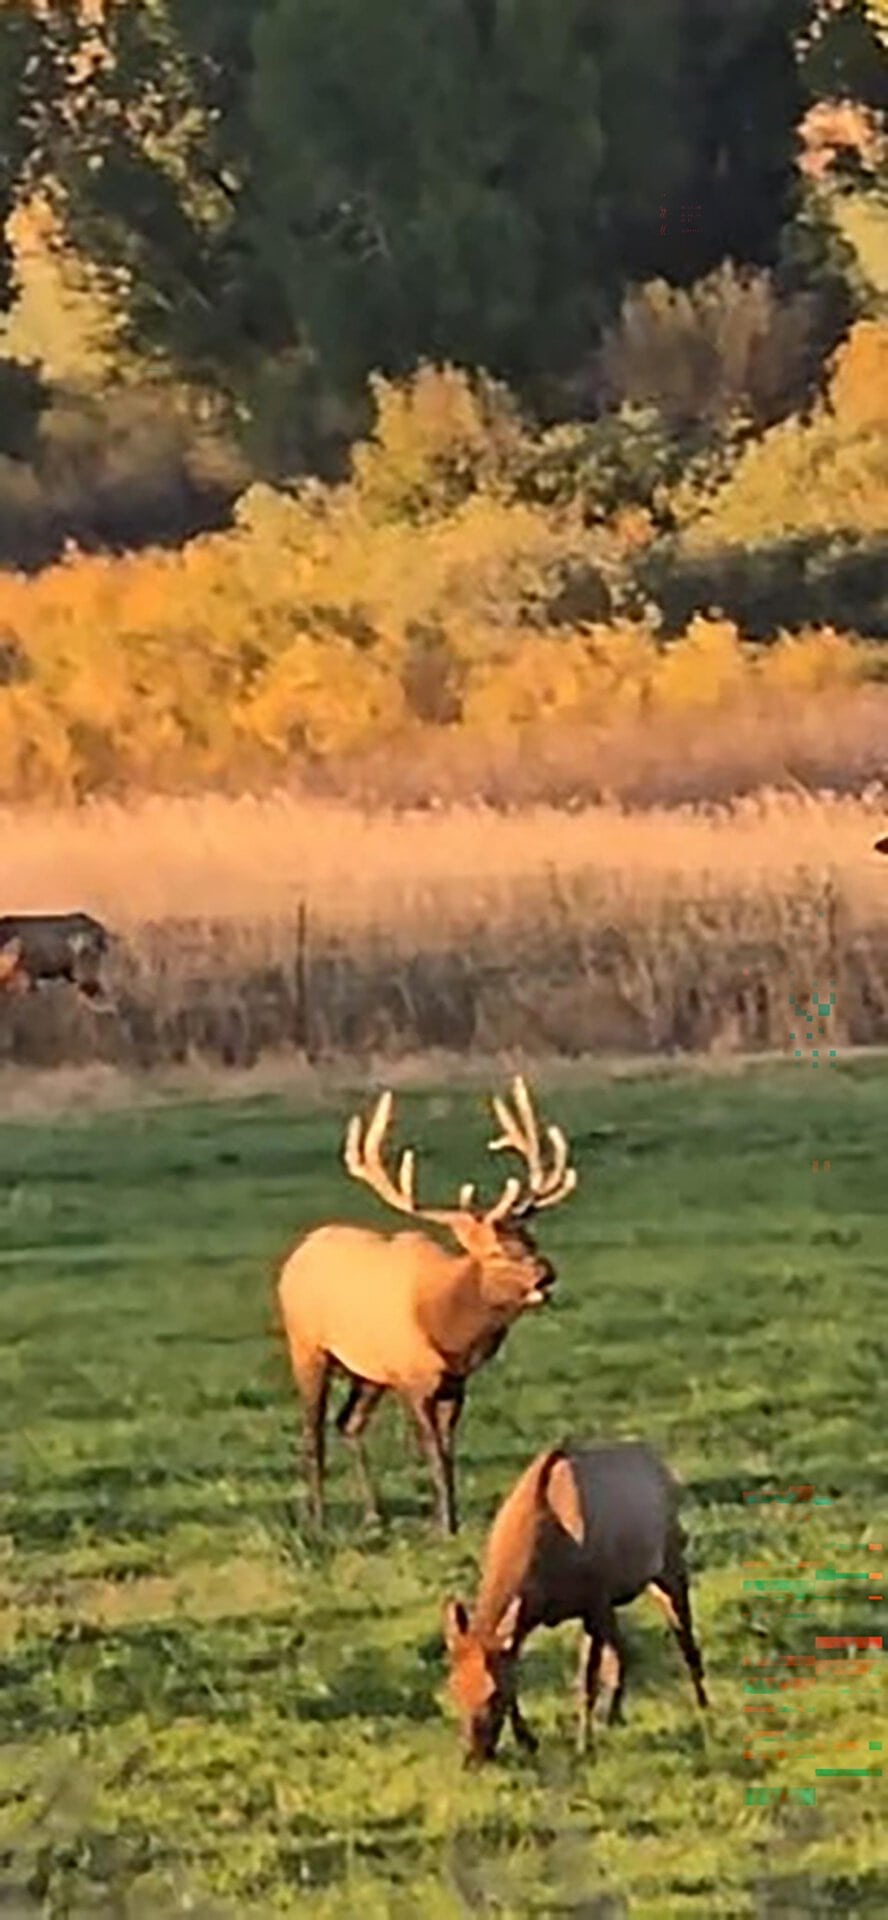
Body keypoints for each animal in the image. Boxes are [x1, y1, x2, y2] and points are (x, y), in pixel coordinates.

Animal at [277, 1077, 577, 1536]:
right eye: (495, 1252)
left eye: (531, 1240)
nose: (546, 1274)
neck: (449, 1332)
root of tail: (299, 1251)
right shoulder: (412, 1378)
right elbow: (432, 1450)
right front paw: (444, 1527)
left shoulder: (454, 1383)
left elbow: (449, 1452)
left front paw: (450, 1518)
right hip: (307, 1345)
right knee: (314, 1432)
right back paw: (317, 1520)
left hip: (369, 1370)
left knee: (349, 1423)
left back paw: (374, 1514)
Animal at [443, 1438, 708, 1765]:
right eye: (453, 1687)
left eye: (492, 1694)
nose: (473, 1756)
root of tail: (664, 1469)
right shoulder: (540, 1616)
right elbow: (517, 1669)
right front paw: (527, 1740)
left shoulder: (593, 1602)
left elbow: (586, 1681)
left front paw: (584, 1745)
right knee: (622, 1649)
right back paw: (614, 1715)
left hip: (669, 1567)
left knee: (685, 1637)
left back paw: (703, 1705)